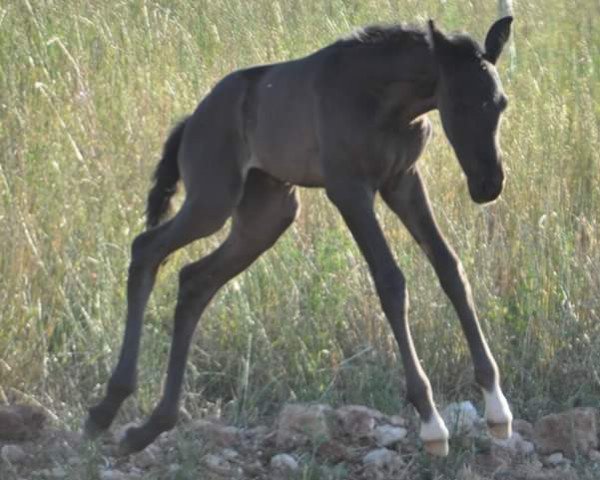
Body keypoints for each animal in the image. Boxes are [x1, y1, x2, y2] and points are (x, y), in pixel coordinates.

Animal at [86, 15, 512, 458]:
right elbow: (391, 282)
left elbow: (449, 267)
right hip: (212, 200)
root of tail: (192, 121)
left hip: (266, 216)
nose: (488, 184)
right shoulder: (349, 190)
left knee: (194, 281)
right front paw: (430, 421)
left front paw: (497, 406)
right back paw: (108, 407)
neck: (381, 99)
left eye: (501, 103)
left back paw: (149, 425)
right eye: (459, 103)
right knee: (147, 249)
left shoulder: (403, 181)